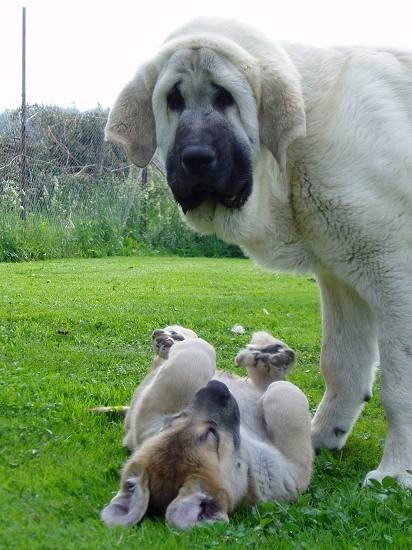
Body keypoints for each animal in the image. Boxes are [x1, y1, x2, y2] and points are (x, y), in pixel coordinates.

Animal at [105, 18, 412, 492]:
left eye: (225, 98)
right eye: (173, 99)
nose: (196, 159)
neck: (295, 149)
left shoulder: (394, 270)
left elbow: (399, 387)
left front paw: (396, 471)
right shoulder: (343, 276)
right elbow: (342, 363)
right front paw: (322, 434)